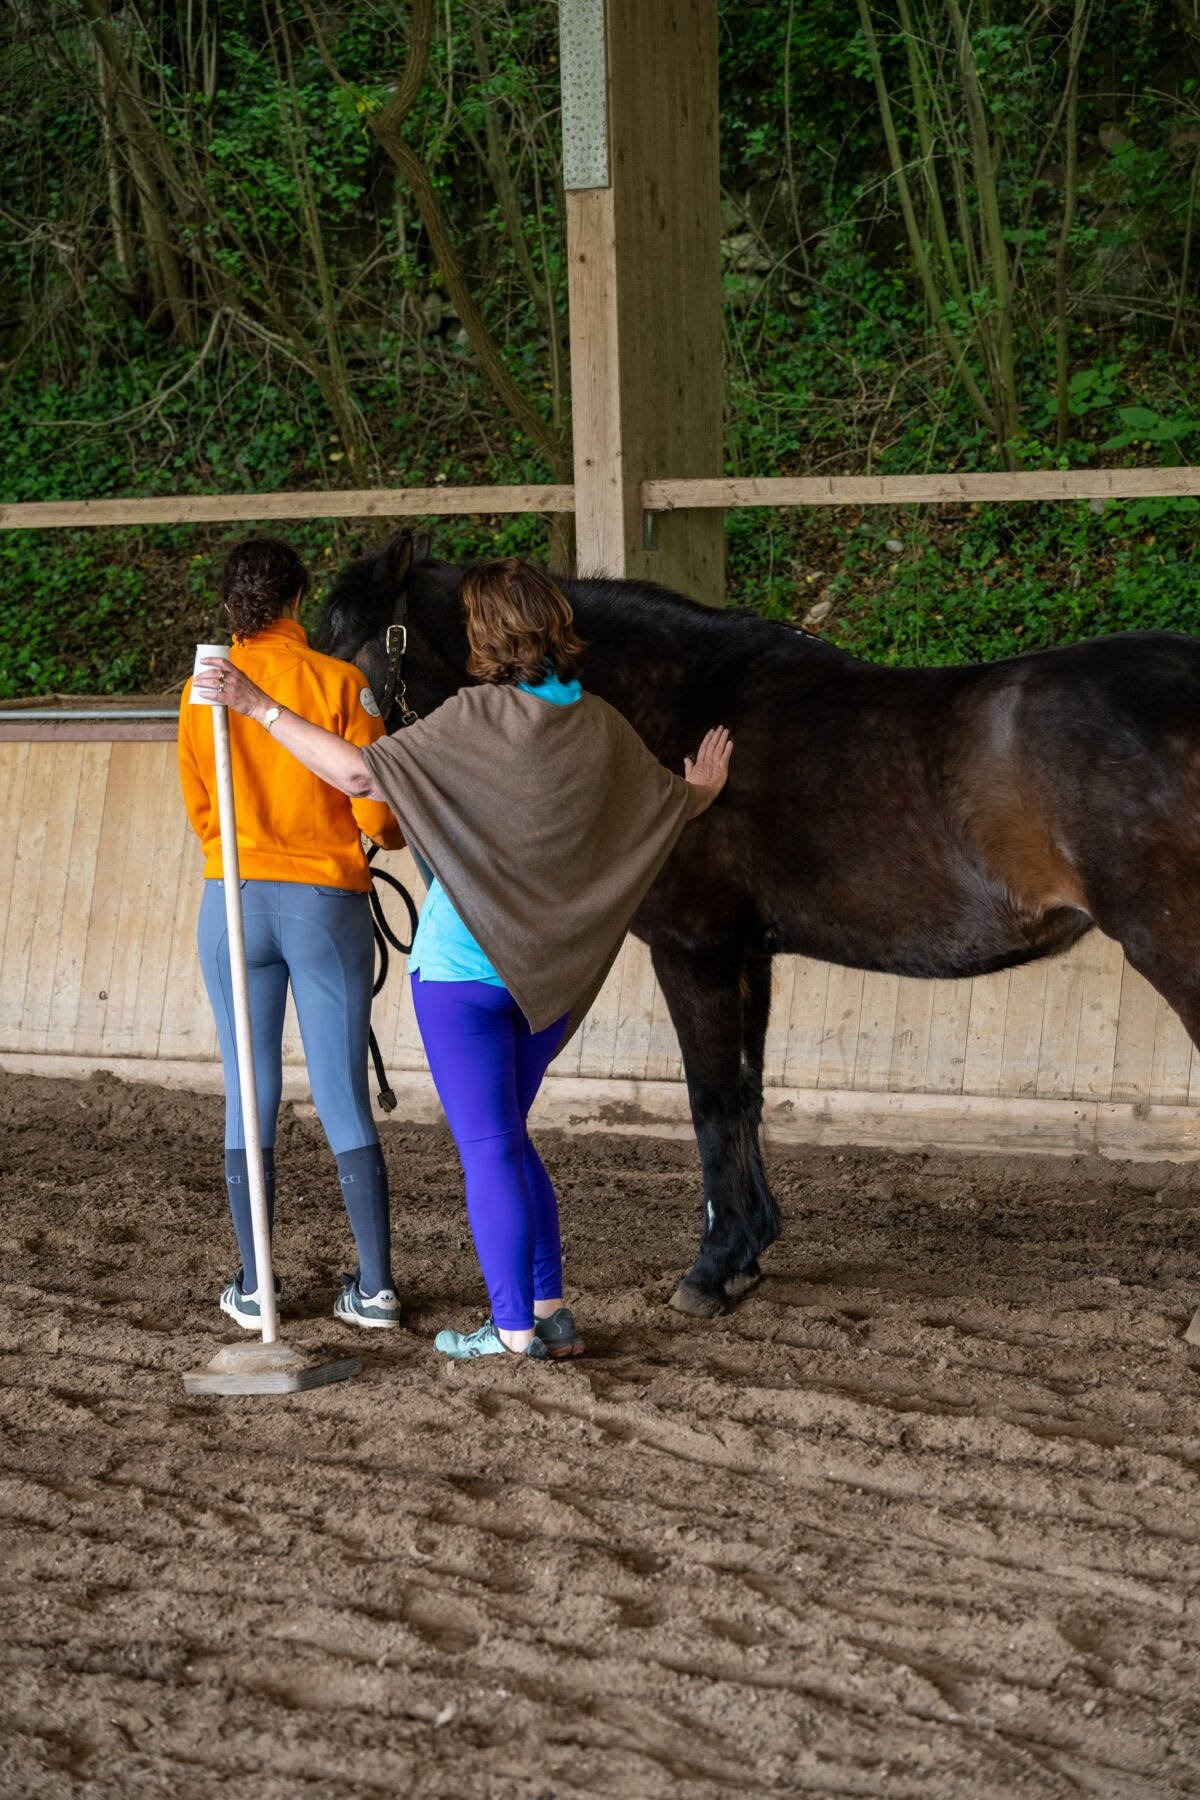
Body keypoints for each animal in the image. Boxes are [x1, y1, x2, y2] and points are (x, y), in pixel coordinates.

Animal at [318, 529, 1200, 1318]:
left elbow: (709, 1101)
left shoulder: (695, 950)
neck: (674, 715)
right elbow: (745, 1093)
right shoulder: (750, 953)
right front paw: (747, 1249)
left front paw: (710, 1269)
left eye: (345, 651)